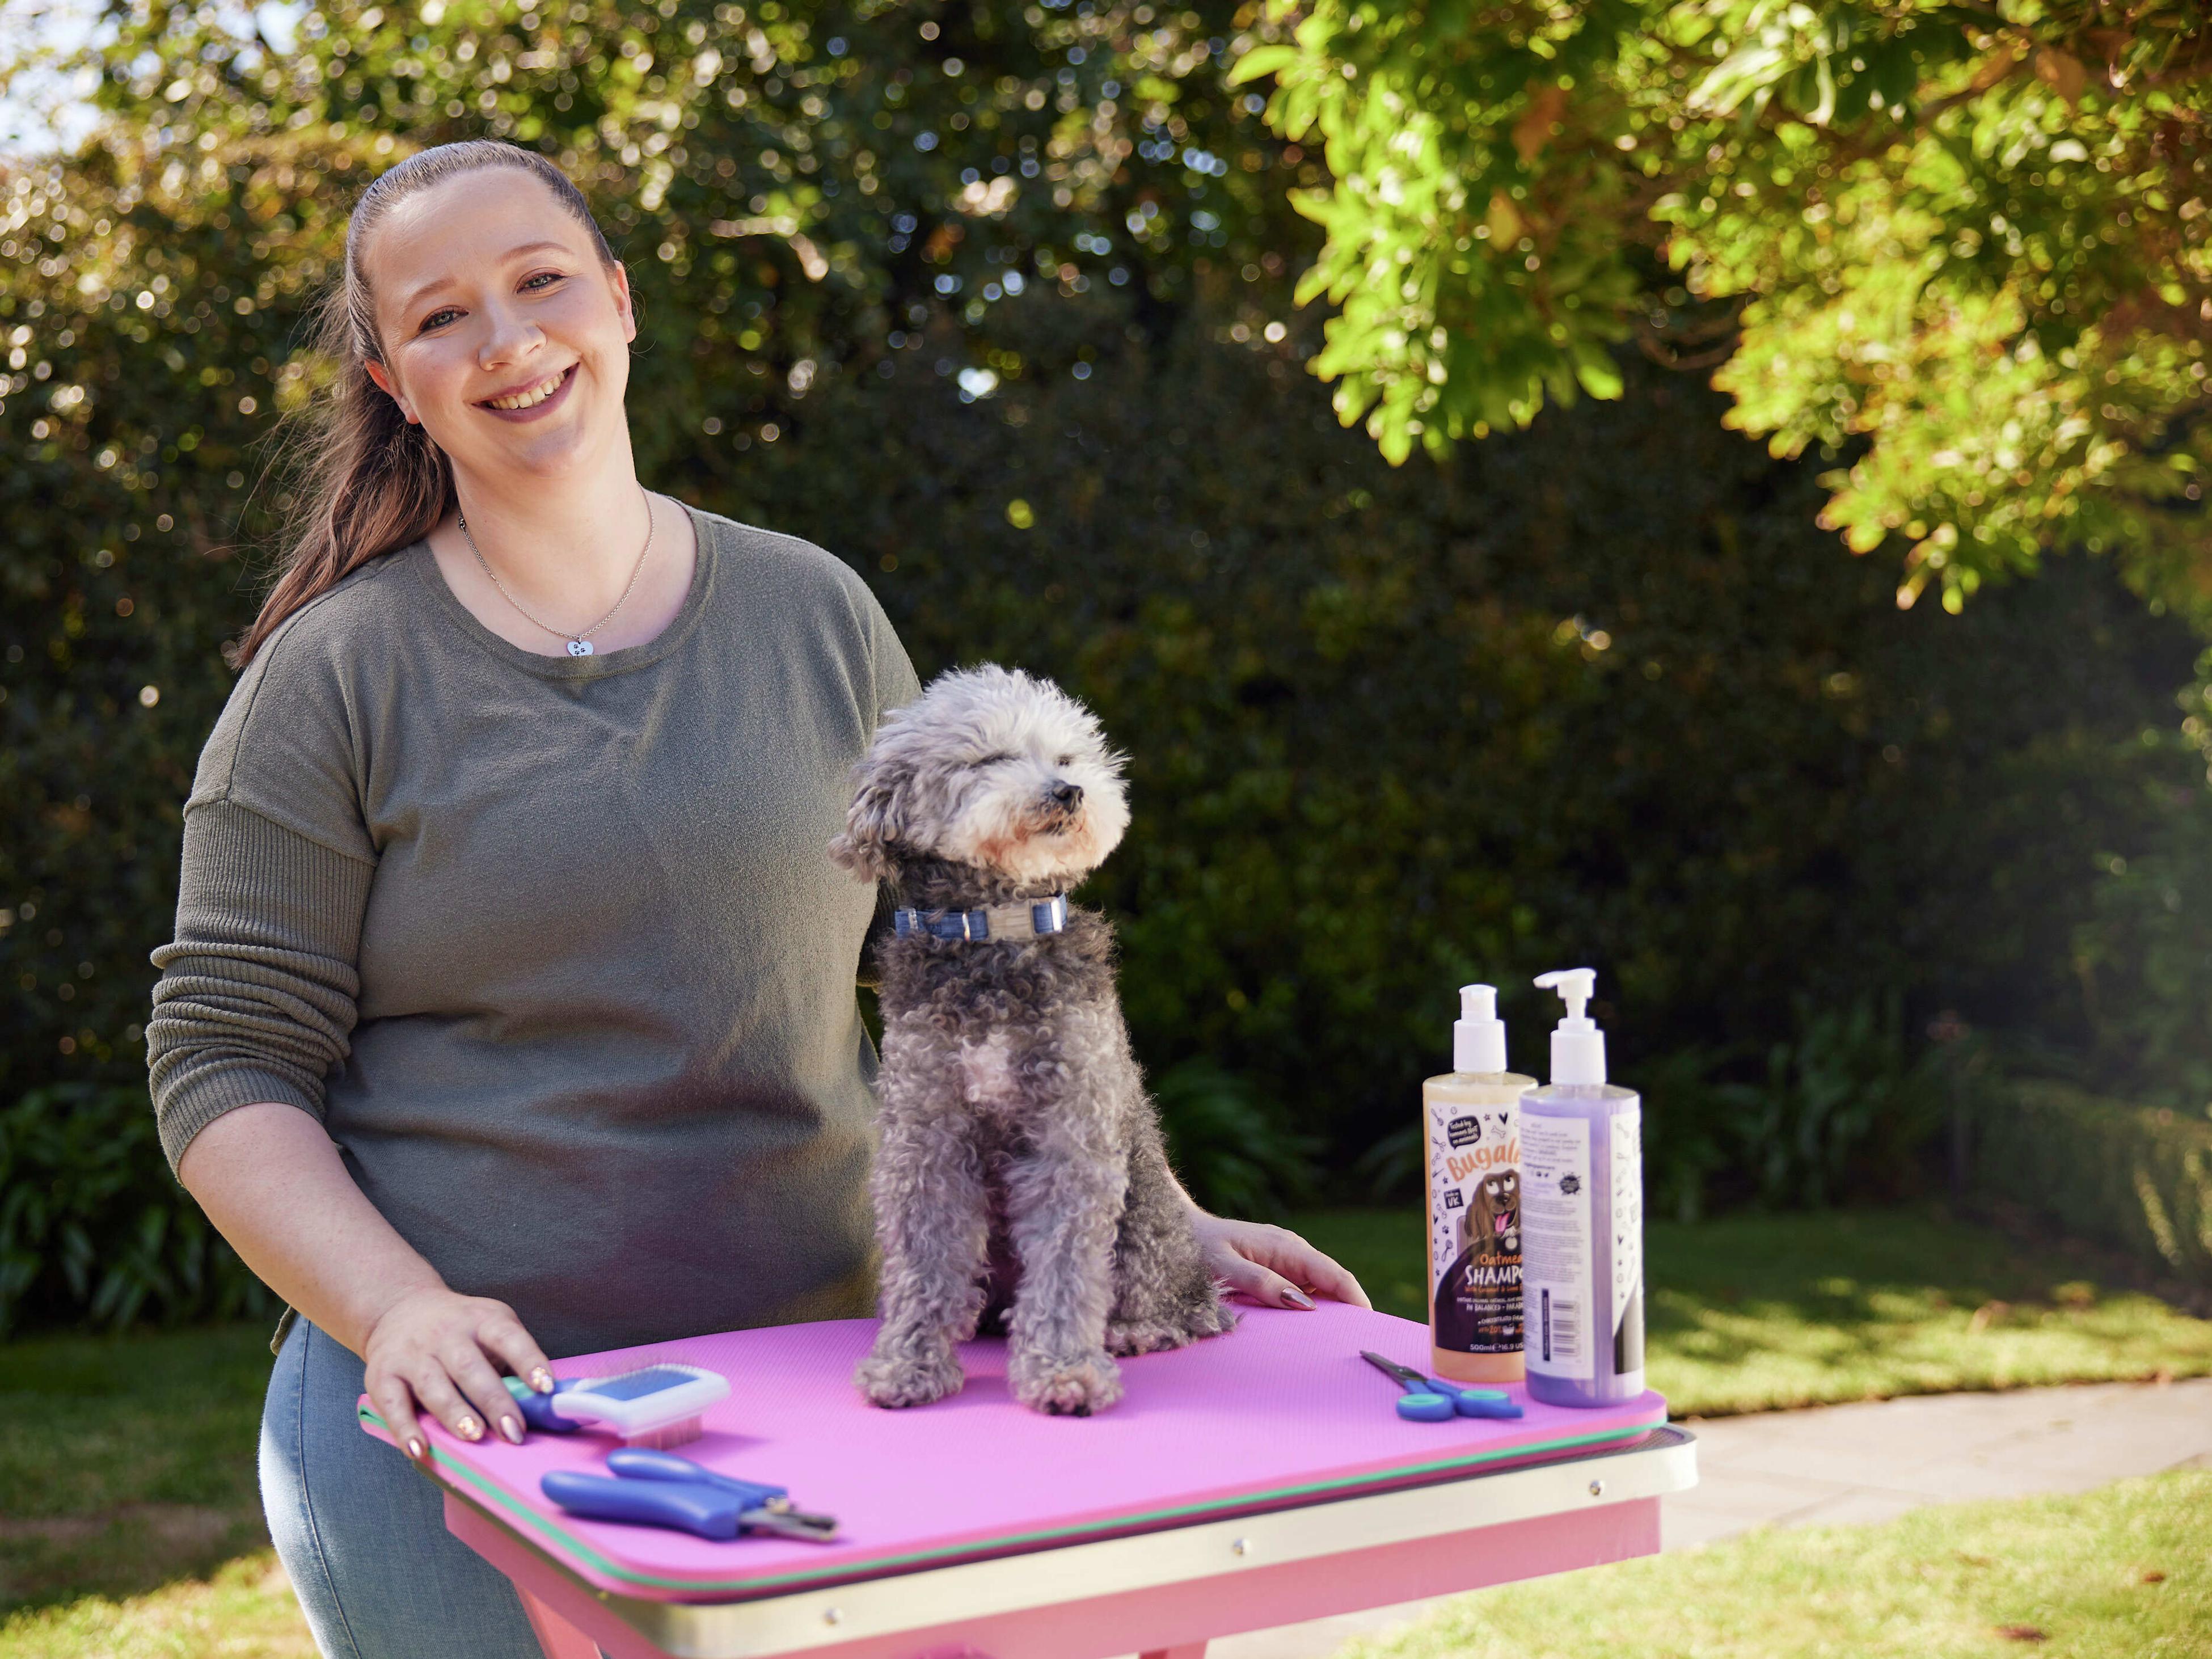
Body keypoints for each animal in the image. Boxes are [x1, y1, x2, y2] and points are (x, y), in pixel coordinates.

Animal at [831, 664, 1239, 1416]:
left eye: (1067, 758)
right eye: (989, 758)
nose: (1067, 792)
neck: (996, 932)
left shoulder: (1068, 1137)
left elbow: (1066, 1272)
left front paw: (1063, 1371)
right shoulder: (926, 1136)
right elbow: (921, 1261)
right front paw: (909, 1361)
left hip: (1145, 1218)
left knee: (1175, 1303)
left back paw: (1144, 1327)